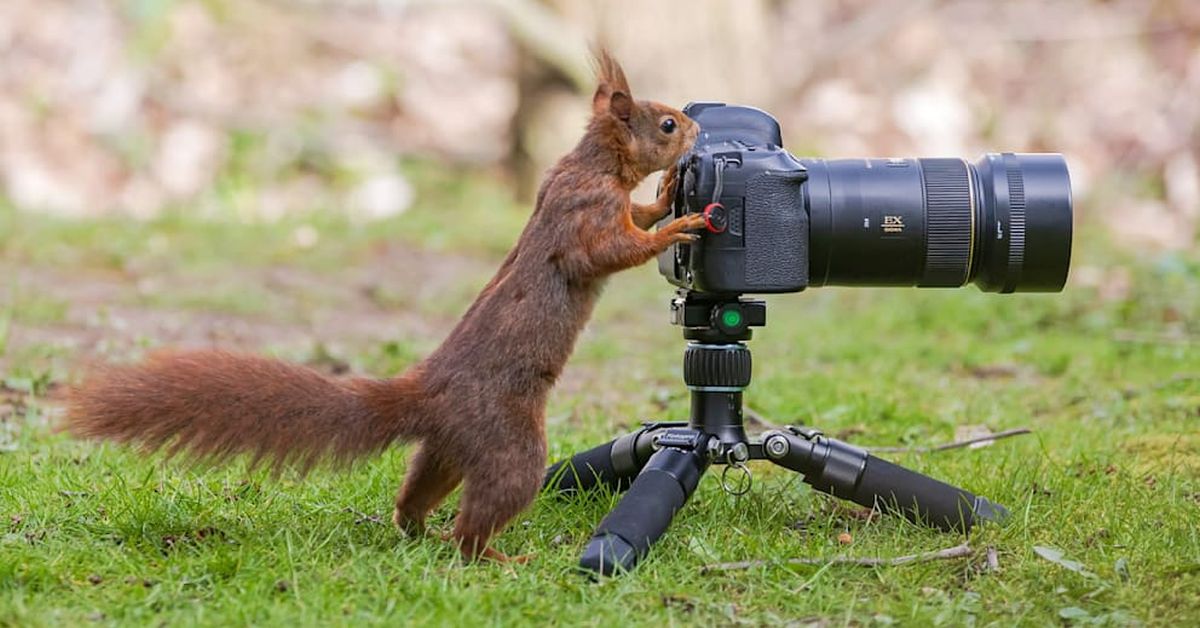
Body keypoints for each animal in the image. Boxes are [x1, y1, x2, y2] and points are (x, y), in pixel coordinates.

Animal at [65, 52, 705, 564]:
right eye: (668, 123)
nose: (697, 129)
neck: (593, 163)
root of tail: (426, 396)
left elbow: (635, 218)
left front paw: (663, 198)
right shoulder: (584, 217)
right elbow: (612, 250)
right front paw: (681, 224)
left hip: (446, 451)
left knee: (415, 496)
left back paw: (418, 530)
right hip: (512, 446)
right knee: (476, 525)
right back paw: (496, 556)